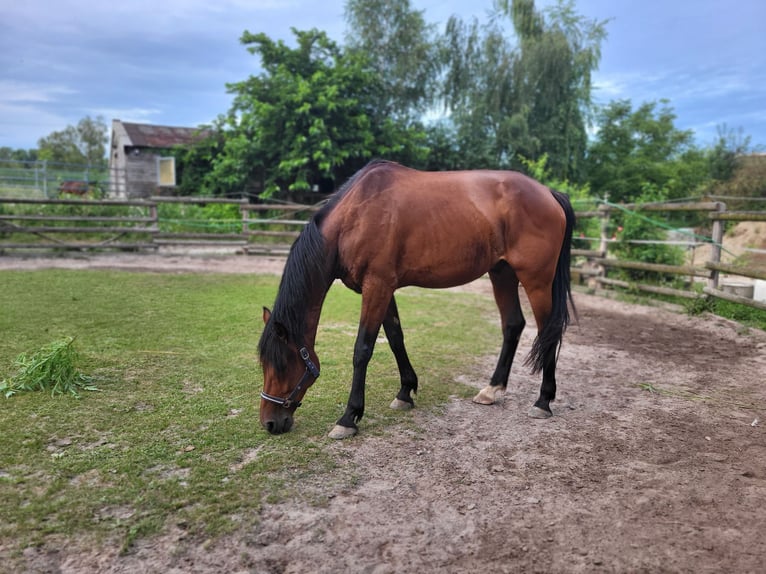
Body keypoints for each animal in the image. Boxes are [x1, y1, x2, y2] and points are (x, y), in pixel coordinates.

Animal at [260, 160, 576, 438]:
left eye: (282, 364)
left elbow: (362, 350)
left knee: (548, 331)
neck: (355, 217)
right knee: (512, 325)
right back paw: (492, 389)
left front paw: (348, 418)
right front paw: (405, 393)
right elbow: (395, 338)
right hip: (502, 273)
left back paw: (543, 401)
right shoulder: (383, 289)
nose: (270, 423)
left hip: (536, 281)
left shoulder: (377, 287)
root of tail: (549, 193)